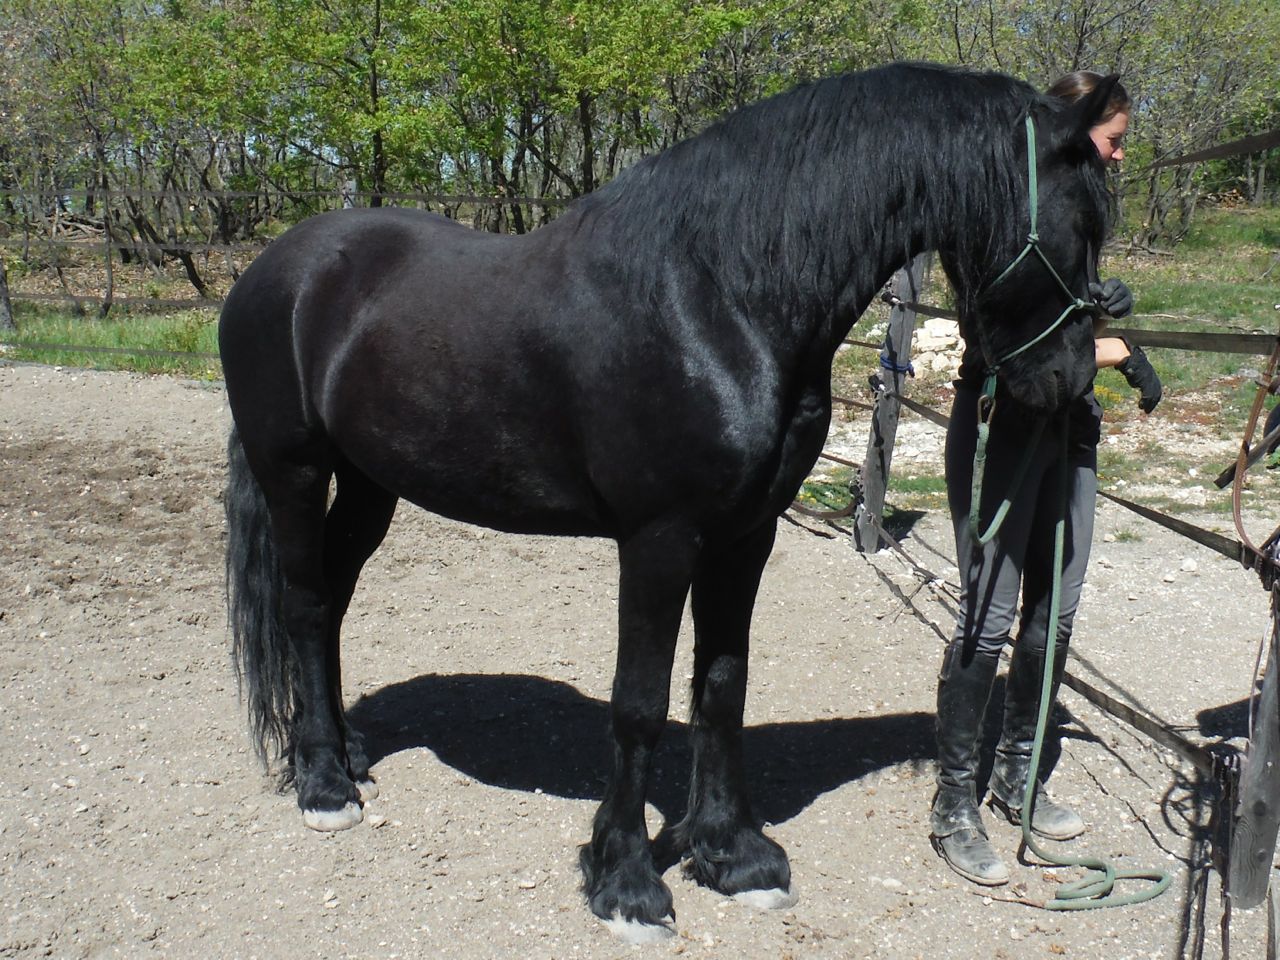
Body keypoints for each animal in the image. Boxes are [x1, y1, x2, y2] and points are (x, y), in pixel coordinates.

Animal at [219, 61, 1120, 941]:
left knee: (332, 604)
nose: (1072, 381)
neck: (721, 298)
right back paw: (324, 784)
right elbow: (641, 704)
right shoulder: (659, 539)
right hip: (294, 472)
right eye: (1084, 222)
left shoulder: (746, 535)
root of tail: (275, 268)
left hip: (371, 485)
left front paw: (732, 855)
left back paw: (346, 752)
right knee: (304, 606)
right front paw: (626, 883)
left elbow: (722, 683)